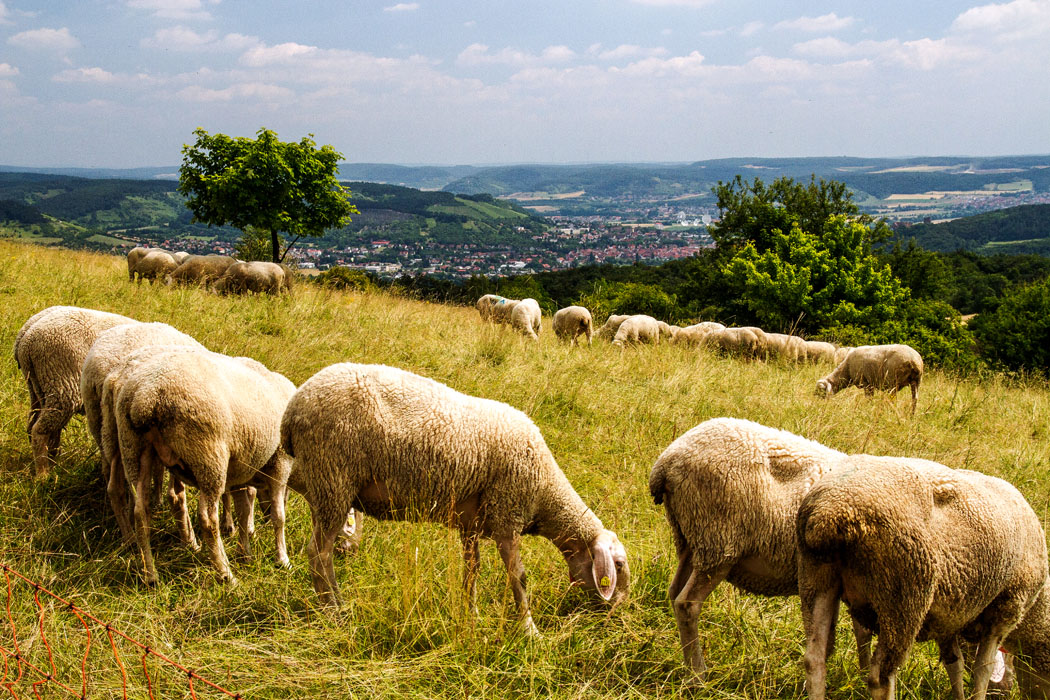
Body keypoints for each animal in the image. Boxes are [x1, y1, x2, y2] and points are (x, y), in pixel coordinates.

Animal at [14, 306, 136, 477]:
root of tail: (25, 336)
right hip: (62, 385)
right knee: (39, 430)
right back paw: (44, 475)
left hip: (38, 388)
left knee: (36, 426)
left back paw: (51, 465)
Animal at [114, 348, 297, 585]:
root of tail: (148, 394)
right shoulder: (279, 465)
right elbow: (278, 517)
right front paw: (282, 559)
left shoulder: (240, 474)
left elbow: (243, 513)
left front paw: (245, 554)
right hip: (208, 456)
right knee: (208, 519)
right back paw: (226, 574)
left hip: (134, 448)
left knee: (140, 512)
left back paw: (151, 575)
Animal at [280, 362, 629, 633]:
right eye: (619, 565)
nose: (618, 611)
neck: (546, 492)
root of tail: (294, 407)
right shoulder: (507, 515)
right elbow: (518, 577)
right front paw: (530, 631)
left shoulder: (470, 524)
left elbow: (471, 571)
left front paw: (470, 615)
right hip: (333, 478)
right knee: (318, 553)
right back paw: (333, 613)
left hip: (325, 485)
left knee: (322, 551)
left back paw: (336, 604)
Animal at [648, 417, 859, 678]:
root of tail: (667, 460)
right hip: (718, 543)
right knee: (687, 604)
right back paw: (698, 674)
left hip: (690, 539)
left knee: (675, 590)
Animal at [797, 455, 1050, 700]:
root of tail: (829, 512)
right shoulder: (1005, 610)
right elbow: (983, 670)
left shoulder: (949, 617)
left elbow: (954, 664)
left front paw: (958, 695)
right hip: (904, 596)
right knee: (881, 677)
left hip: (816, 579)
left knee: (814, 660)